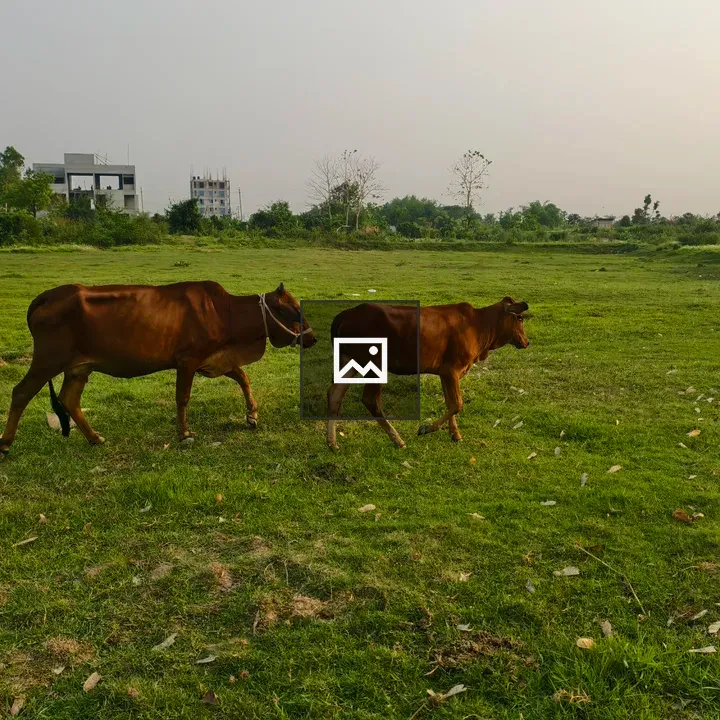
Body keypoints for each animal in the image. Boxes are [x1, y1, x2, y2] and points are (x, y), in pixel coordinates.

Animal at [0, 282, 315, 457]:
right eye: (293, 310)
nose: (312, 338)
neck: (223, 311)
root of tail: (48, 296)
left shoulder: (214, 358)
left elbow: (243, 377)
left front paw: (251, 415)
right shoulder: (187, 360)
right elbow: (183, 397)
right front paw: (184, 434)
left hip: (80, 368)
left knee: (69, 400)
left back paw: (95, 438)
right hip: (47, 361)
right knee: (21, 393)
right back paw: (5, 443)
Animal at [326, 296, 529, 449]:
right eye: (520, 318)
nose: (527, 342)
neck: (479, 326)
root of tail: (349, 313)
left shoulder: (444, 373)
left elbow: (450, 403)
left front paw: (455, 434)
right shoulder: (451, 370)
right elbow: (457, 403)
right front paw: (426, 428)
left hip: (349, 361)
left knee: (335, 395)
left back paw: (332, 443)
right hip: (374, 365)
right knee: (370, 400)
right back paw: (397, 440)